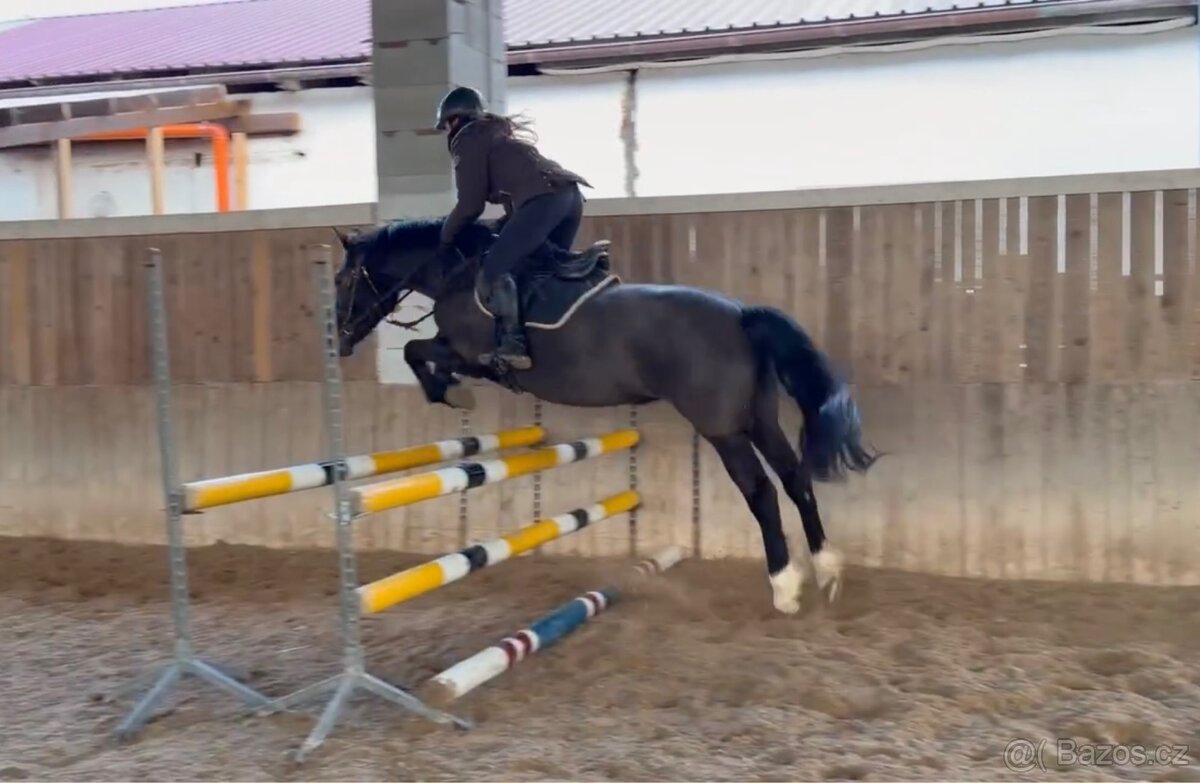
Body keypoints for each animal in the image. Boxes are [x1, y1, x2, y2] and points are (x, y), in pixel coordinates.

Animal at [331, 217, 878, 614]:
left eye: (344, 278)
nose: (340, 340)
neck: (459, 276)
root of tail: (741, 315)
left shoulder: (467, 353)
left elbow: (418, 351)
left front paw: (448, 393)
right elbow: (419, 351)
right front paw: (447, 391)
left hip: (722, 428)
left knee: (761, 491)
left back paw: (784, 585)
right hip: (758, 418)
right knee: (794, 477)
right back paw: (826, 567)